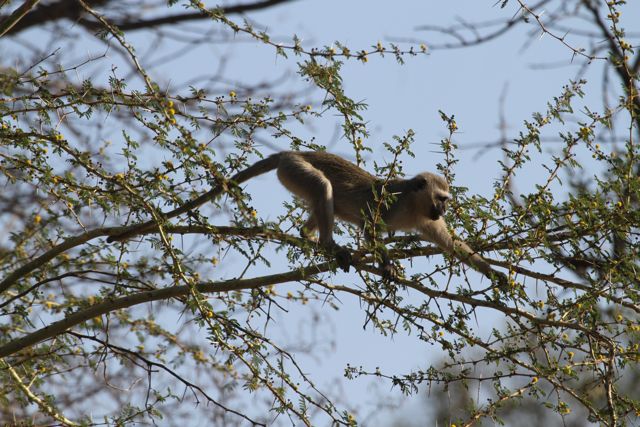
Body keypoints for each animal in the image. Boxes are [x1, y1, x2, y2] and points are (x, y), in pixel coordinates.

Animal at [110, 152, 508, 286]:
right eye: (442, 199)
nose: (442, 210)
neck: (414, 203)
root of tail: (290, 152)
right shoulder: (389, 204)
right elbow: (369, 226)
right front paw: (385, 263)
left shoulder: (427, 221)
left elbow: (451, 244)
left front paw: (496, 275)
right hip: (294, 170)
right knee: (322, 186)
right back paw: (330, 245)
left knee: (319, 201)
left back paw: (307, 235)